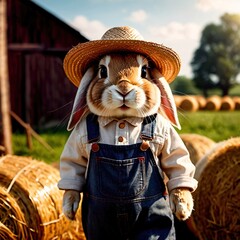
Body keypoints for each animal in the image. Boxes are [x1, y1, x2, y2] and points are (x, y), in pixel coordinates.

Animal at [58, 53, 197, 240]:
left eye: (144, 71)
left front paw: (183, 208)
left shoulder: (165, 131)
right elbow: (73, 167)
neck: (121, 120)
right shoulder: (79, 137)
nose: (124, 89)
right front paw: (69, 208)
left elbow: (178, 164)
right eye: (102, 71)